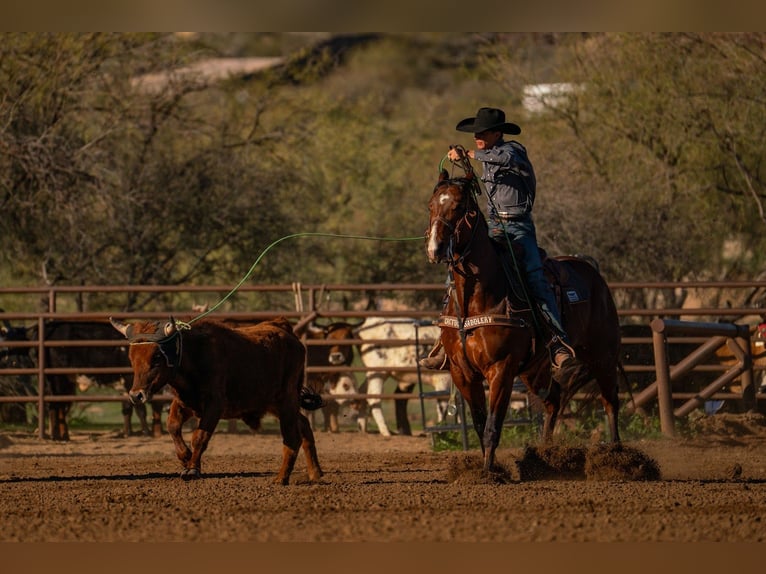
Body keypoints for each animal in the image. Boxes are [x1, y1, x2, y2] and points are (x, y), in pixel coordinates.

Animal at [425, 169, 622, 472]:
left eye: (458, 206)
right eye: (431, 206)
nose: (434, 248)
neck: (475, 300)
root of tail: (591, 270)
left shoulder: (501, 369)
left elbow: (492, 426)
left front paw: (488, 472)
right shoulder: (462, 373)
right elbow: (480, 425)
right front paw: (489, 468)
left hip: (602, 354)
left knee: (610, 400)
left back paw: (616, 457)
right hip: (535, 370)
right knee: (554, 400)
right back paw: (546, 454)